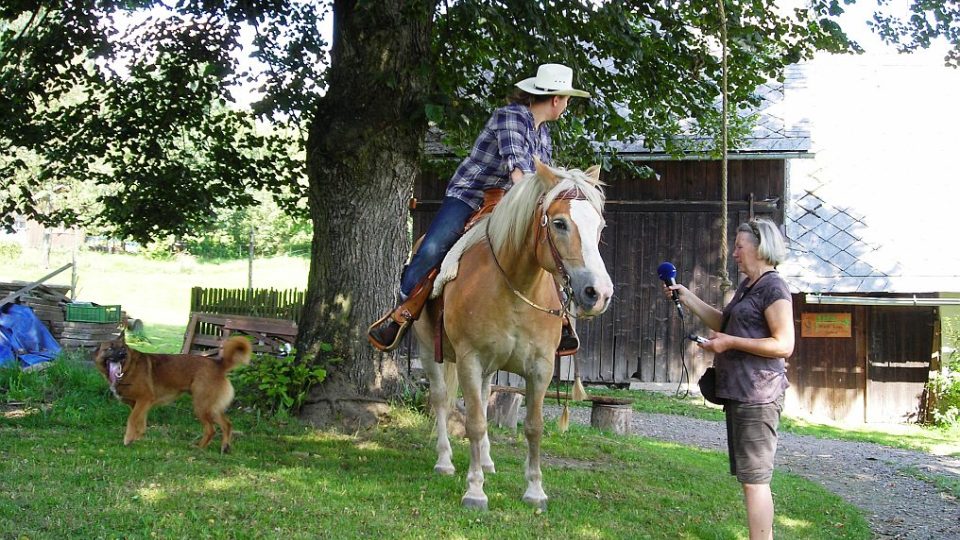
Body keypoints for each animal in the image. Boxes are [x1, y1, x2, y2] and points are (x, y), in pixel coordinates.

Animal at [93, 334, 251, 452]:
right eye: (110, 348)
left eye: (122, 348)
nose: (123, 354)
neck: (129, 367)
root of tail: (218, 364)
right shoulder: (139, 405)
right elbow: (141, 423)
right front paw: (137, 438)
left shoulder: (144, 400)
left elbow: (131, 420)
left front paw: (128, 439)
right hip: (211, 408)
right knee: (227, 424)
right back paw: (225, 447)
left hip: (201, 406)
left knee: (211, 429)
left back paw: (199, 447)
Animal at [414, 157, 616, 510]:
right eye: (560, 223)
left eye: (599, 226)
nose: (599, 293)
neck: (514, 287)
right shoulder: (469, 359)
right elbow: (475, 422)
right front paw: (475, 491)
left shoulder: (540, 367)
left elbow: (534, 427)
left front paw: (535, 490)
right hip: (429, 350)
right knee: (440, 398)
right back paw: (445, 461)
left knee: (483, 396)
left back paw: (486, 461)